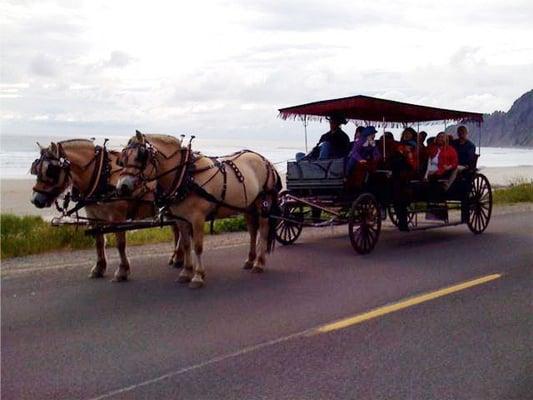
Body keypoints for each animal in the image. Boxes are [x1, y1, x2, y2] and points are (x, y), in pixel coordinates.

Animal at [30, 141, 181, 282]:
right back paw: (177, 257)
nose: (35, 200)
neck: (102, 176)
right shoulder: (94, 216)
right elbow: (99, 242)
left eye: (51, 170)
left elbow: (120, 244)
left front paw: (123, 270)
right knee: (177, 230)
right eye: (36, 169)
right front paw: (99, 267)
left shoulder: (118, 218)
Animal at [115, 133, 282, 290]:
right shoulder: (181, 219)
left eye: (140, 156)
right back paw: (250, 260)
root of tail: (266, 161)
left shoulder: (197, 218)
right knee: (253, 232)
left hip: (263, 203)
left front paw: (198, 276)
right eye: (123, 158)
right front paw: (186, 272)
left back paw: (259, 263)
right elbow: (186, 245)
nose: (122, 187)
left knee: (264, 231)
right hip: (248, 206)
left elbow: (198, 246)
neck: (186, 175)